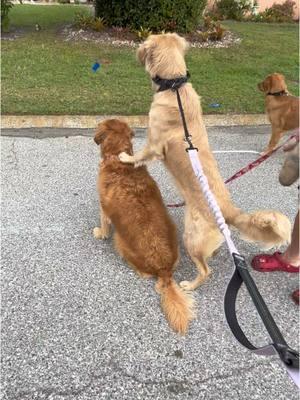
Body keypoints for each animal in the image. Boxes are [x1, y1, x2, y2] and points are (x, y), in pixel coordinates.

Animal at [92, 119, 195, 334]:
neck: (119, 159)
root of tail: (164, 270)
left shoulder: (103, 208)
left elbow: (104, 225)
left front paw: (99, 233)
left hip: (120, 241)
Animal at [119, 33, 290, 290]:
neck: (175, 87)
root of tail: (228, 212)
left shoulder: (154, 143)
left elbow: (139, 154)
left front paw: (126, 158)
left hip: (192, 237)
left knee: (205, 270)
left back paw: (189, 284)